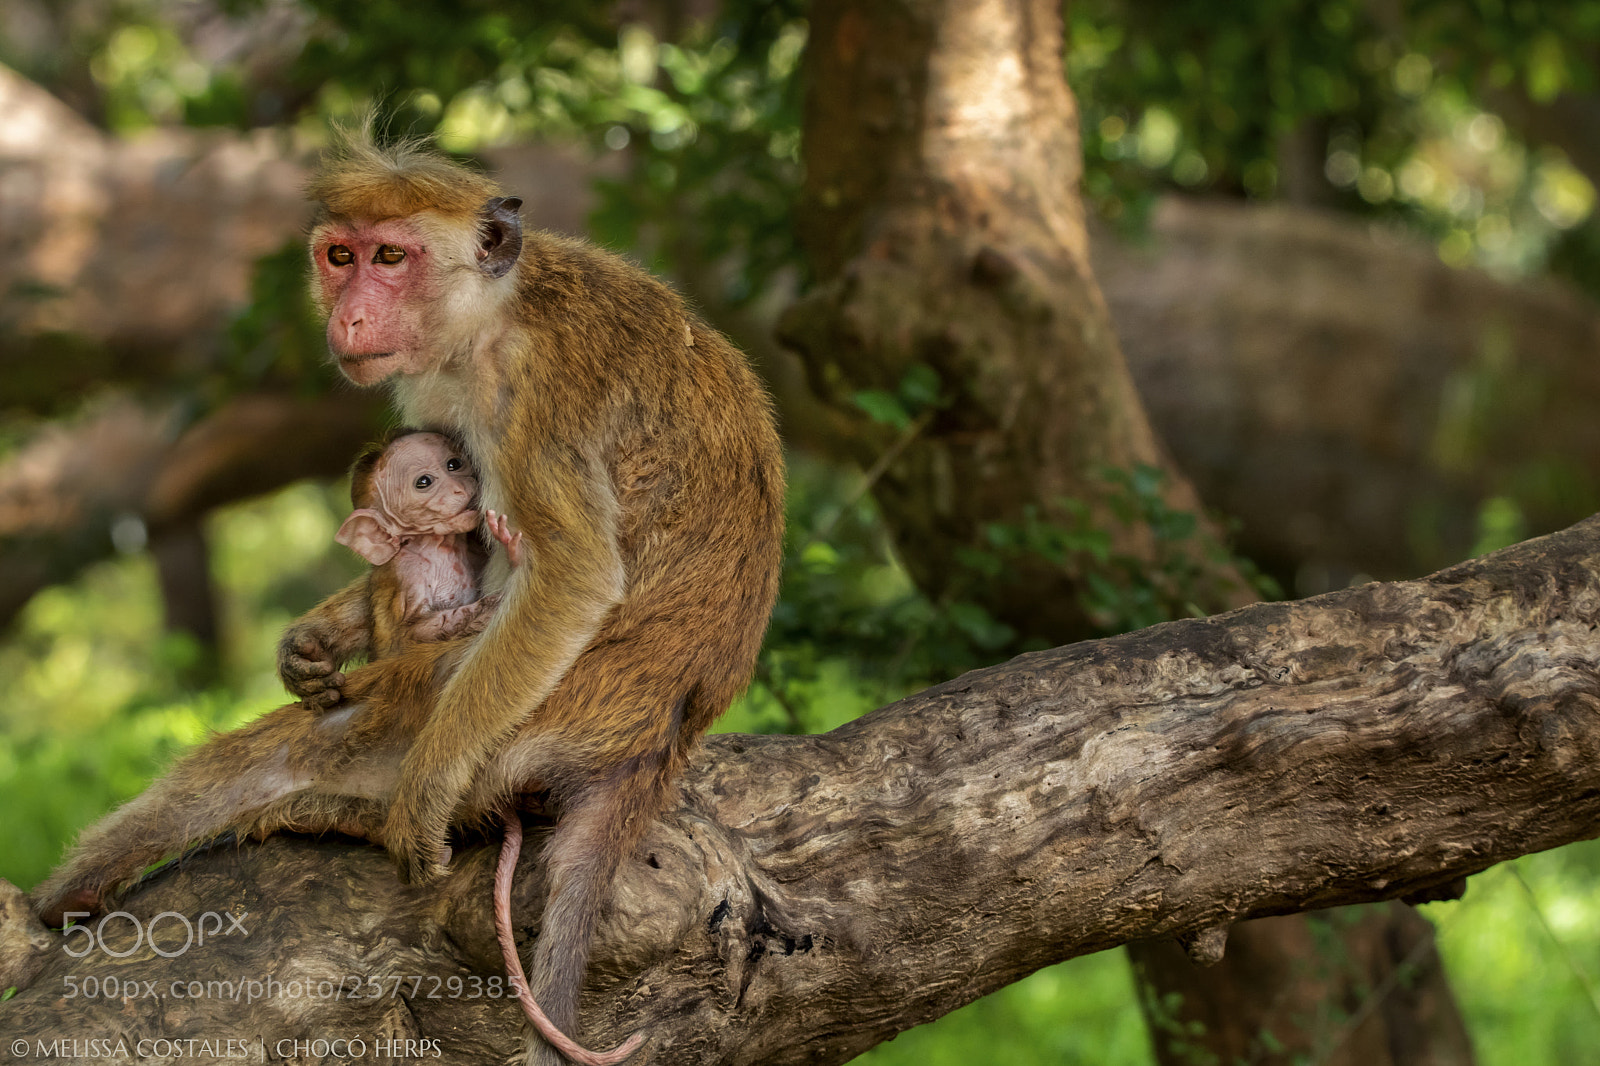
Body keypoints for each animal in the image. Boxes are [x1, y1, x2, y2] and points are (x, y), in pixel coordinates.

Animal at [32, 133, 786, 1066]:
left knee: (318, 741)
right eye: (341, 256)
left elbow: (573, 575)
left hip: (535, 714)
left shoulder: (533, 396)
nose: (351, 315)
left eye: (392, 257)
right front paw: (312, 641)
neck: (493, 311)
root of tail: (651, 748)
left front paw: (420, 794)